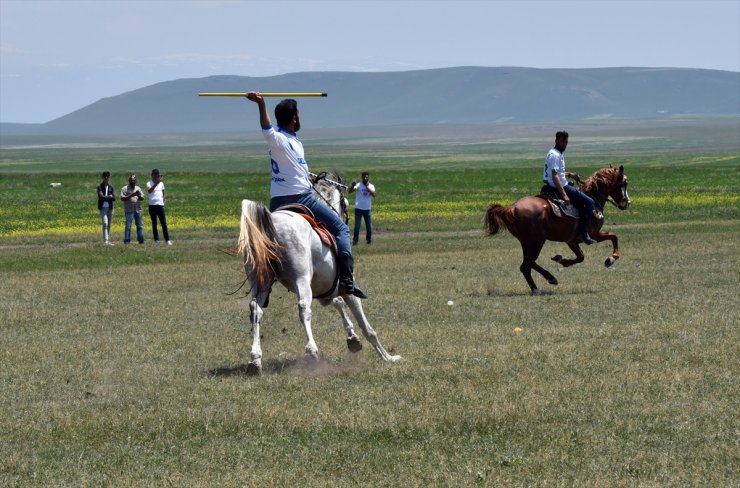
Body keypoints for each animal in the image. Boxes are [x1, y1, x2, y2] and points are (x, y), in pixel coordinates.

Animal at [237, 173, 402, 376]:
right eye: (345, 203)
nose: (344, 217)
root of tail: (272, 224)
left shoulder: (325, 292)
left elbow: (337, 303)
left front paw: (353, 340)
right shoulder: (348, 290)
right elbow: (366, 327)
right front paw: (388, 357)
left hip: (260, 281)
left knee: (256, 310)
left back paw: (255, 359)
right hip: (301, 279)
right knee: (303, 308)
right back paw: (311, 351)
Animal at [486, 166, 632, 292]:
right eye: (624, 183)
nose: (627, 203)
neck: (593, 200)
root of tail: (512, 208)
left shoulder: (571, 240)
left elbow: (581, 257)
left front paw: (562, 260)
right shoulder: (593, 235)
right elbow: (613, 236)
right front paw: (611, 259)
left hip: (527, 242)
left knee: (529, 263)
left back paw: (550, 278)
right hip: (536, 241)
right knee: (526, 265)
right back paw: (537, 289)